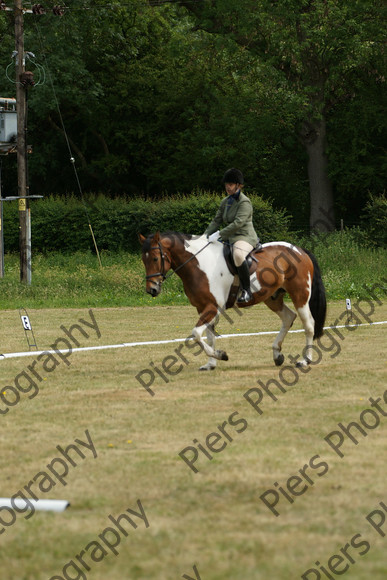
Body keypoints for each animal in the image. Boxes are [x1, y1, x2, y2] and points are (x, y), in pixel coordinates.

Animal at [139, 230, 328, 370]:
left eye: (155, 258)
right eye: (143, 260)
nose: (152, 290)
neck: (199, 264)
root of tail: (300, 250)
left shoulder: (213, 307)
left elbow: (196, 334)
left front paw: (220, 355)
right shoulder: (203, 307)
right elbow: (209, 335)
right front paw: (211, 364)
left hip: (300, 295)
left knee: (309, 324)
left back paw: (305, 360)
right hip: (273, 298)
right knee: (288, 318)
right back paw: (277, 354)